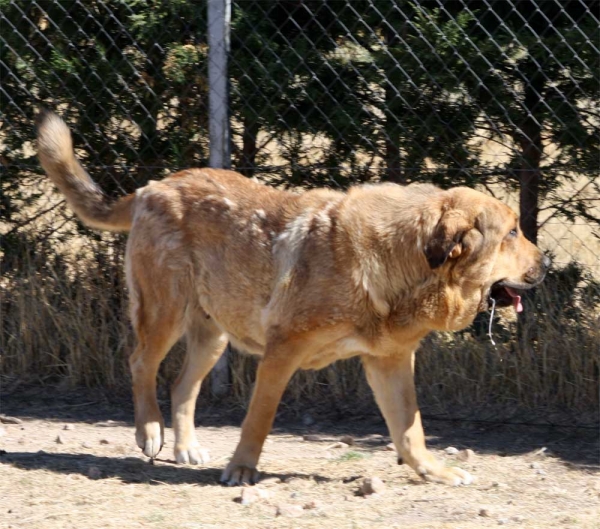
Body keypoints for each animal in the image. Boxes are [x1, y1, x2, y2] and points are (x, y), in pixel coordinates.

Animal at [36, 112, 548, 486]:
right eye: (513, 233)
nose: (546, 266)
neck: (404, 260)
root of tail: (151, 187)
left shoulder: (390, 362)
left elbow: (411, 431)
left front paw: (433, 472)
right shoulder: (282, 352)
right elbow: (258, 420)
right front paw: (241, 469)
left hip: (212, 337)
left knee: (182, 386)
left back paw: (185, 447)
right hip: (166, 315)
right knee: (140, 363)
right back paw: (149, 432)